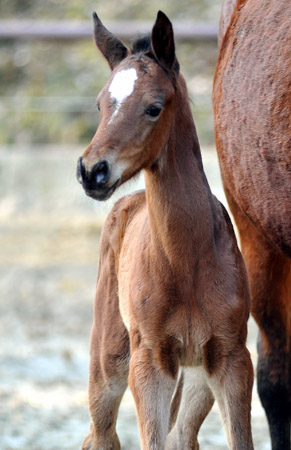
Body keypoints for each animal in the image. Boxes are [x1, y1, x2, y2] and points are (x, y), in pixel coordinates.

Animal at [78, 10, 256, 450]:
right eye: (101, 104)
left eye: (154, 108)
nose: (92, 171)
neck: (185, 259)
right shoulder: (150, 362)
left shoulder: (231, 359)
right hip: (109, 361)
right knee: (100, 434)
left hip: (194, 377)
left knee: (182, 435)